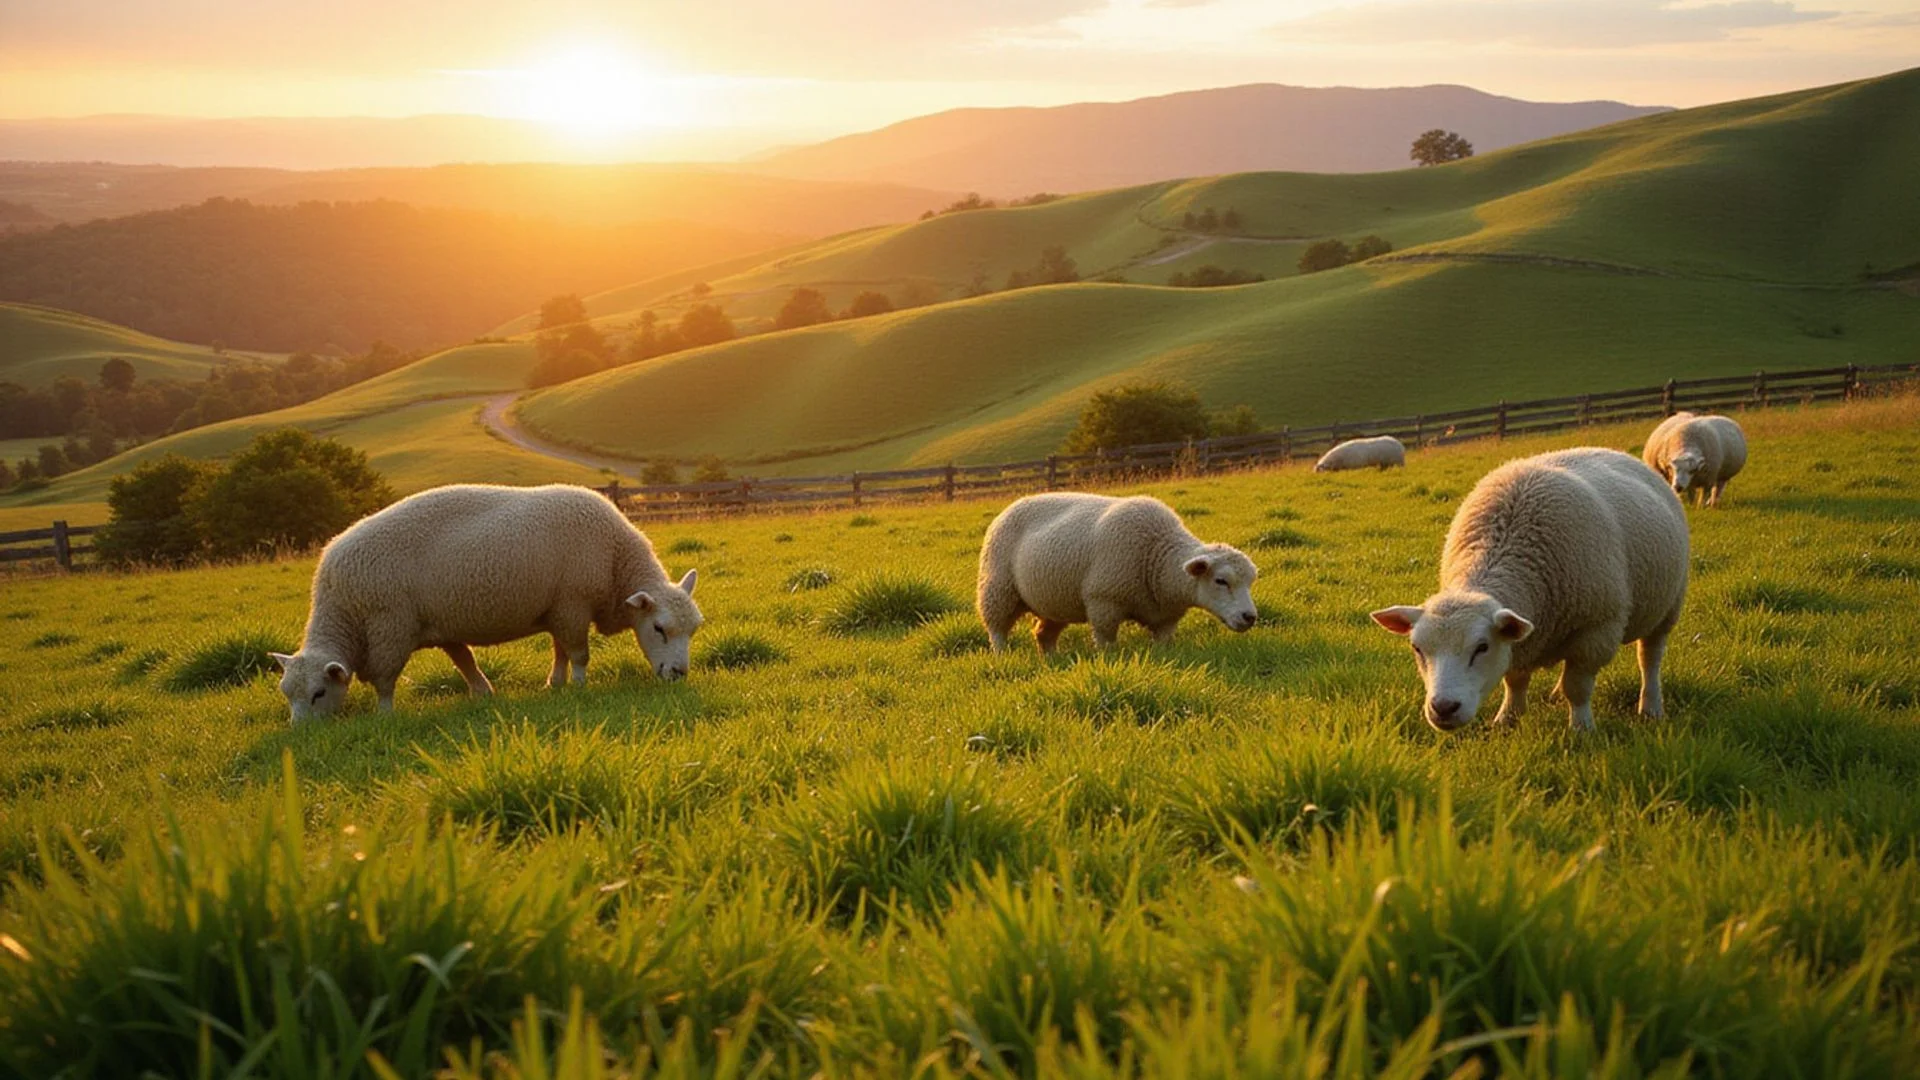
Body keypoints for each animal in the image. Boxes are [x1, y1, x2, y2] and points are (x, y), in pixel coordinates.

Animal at [269, 483, 702, 723]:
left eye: (318, 694)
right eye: (659, 628)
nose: (679, 674)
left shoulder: (561, 605)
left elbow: (561, 652)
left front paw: (557, 685)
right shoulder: (571, 603)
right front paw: (386, 717)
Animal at [977, 493, 1258, 652]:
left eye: (1250, 583)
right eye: (1221, 581)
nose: (1250, 617)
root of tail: (1014, 503)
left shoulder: (1166, 619)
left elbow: (1163, 647)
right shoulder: (1104, 602)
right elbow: (1106, 643)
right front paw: (1108, 661)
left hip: (1054, 601)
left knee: (1043, 634)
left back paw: (1052, 660)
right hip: (998, 588)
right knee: (997, 629)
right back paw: (1002, 656)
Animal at [1370, 448, 1687, 732]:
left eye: (1482, 647)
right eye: (1417, 648)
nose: (1443, 708)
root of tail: (1619, 453)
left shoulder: (1596, 631)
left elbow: (1578, 687)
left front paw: (1581, 729)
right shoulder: (1522, 638)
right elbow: (1515, 681)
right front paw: (1507, 720)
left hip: (1669, 606)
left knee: (1650, 658)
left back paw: (1651, 707)